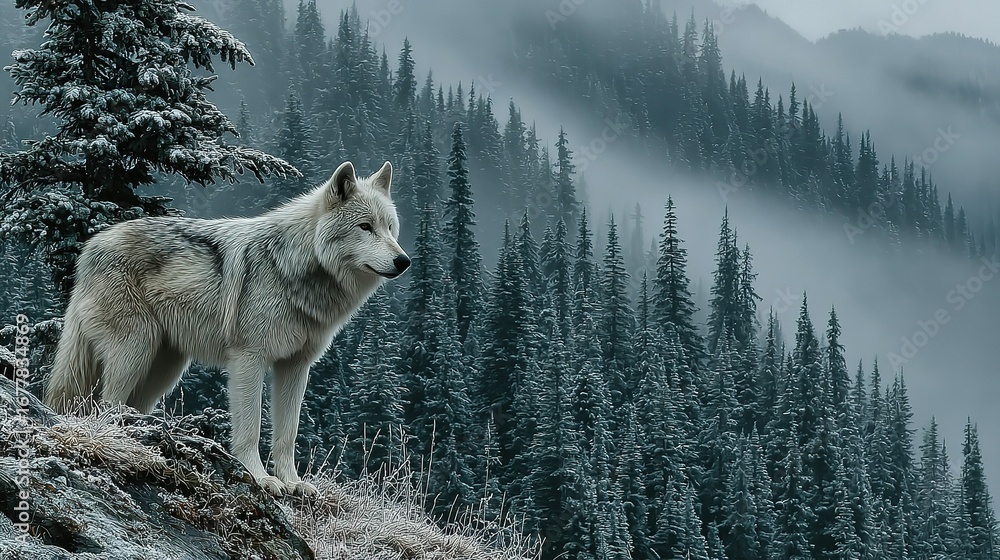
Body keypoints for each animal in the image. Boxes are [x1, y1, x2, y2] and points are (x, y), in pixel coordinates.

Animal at [44, 161, 409, 496]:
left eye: (391, 228)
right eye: (365, 227)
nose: (403, 261)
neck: (295, 268)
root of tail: (92, 245)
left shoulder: (295, 366)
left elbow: (287, 434)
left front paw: (293, 483)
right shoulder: (249, 360)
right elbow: (250, 428)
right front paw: (260, 478)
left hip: (163, 370)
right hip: (136, 351)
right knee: (105, 404)